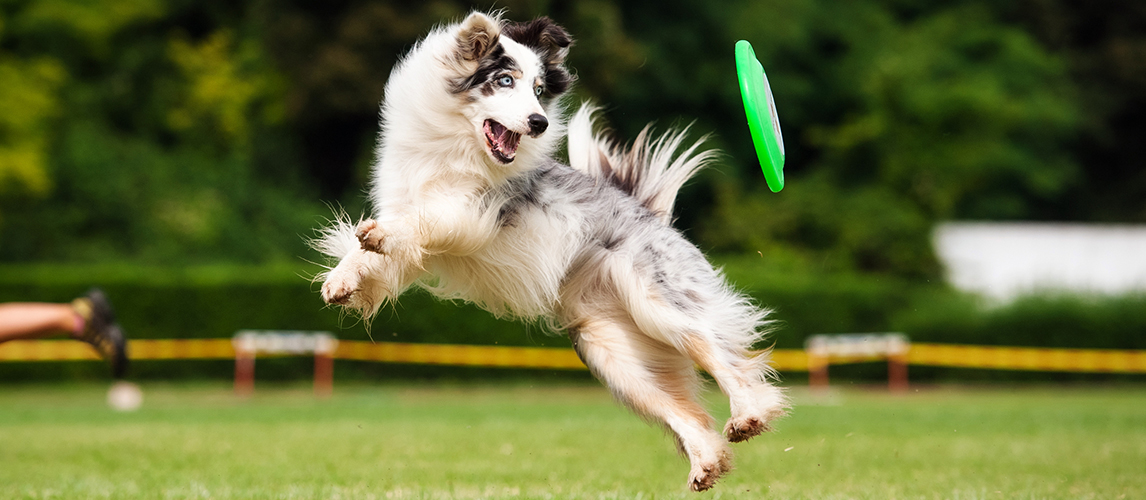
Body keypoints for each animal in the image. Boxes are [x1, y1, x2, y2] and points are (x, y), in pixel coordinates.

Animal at [318, 11, 793, 493]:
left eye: (539, 89)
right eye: (505, 80)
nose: (539, 122)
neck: (452, 143)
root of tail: (648, 213)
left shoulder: (474, 211)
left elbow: (422, 219)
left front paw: (376, 236)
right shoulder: (412, 227)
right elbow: (375, 254)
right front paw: (342, 278)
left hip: (659, 303)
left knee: (722, 353)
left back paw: (749, 413)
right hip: (612, 352)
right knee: (681, 410)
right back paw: (706, 462)